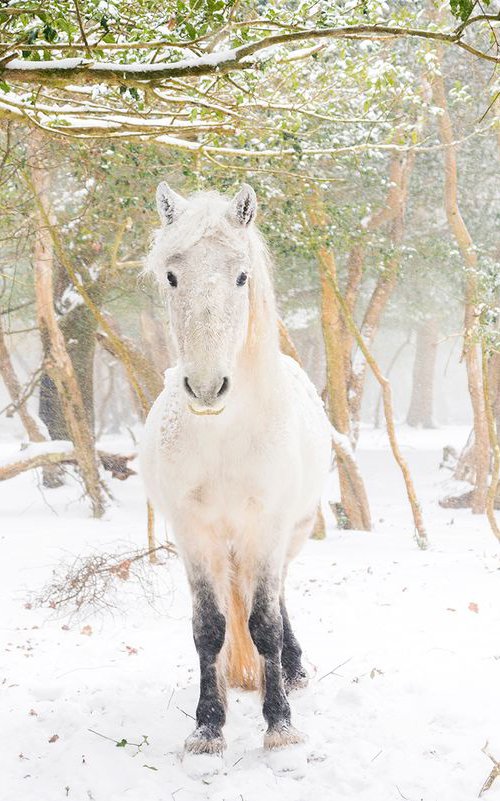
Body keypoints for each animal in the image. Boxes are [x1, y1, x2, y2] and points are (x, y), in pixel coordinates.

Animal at [140, 183, 332, 756]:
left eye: (242, 275)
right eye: (172, 275)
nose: (206, 388)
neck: (224, 436)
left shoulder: (267, 529)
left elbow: (264, 624)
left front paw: (281, 726)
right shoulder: (193, 535)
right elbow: (209, 628)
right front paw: (207, 728)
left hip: (292, 533)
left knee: (279, 597)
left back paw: (292, 670)